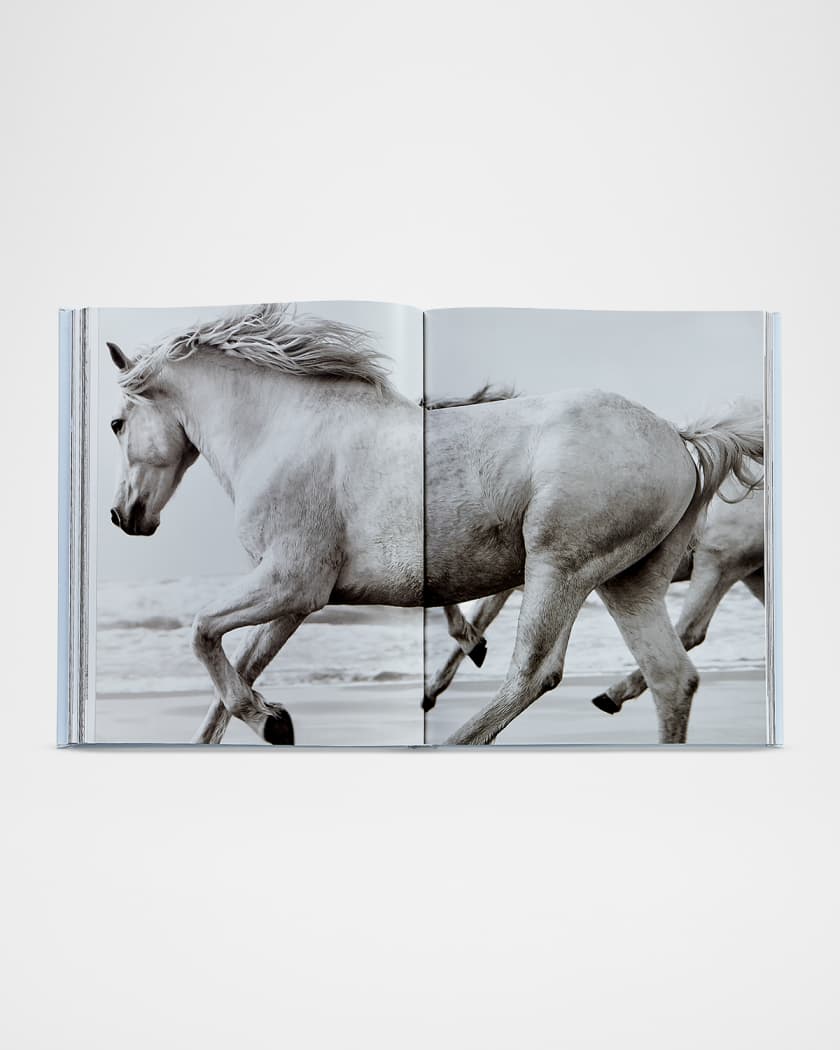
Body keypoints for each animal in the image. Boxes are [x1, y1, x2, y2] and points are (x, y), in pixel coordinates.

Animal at [106, 303, 763, 745]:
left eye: (115, 423)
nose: (122, 515)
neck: (285, 429)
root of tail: (679, 437)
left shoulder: (292, 582)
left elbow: (200, 633)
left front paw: (271, 721)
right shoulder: (293, 598)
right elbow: (235, 669)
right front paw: (265, 719)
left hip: (562, 566)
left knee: (538, 672)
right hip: (628, 581)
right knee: (673, 677)